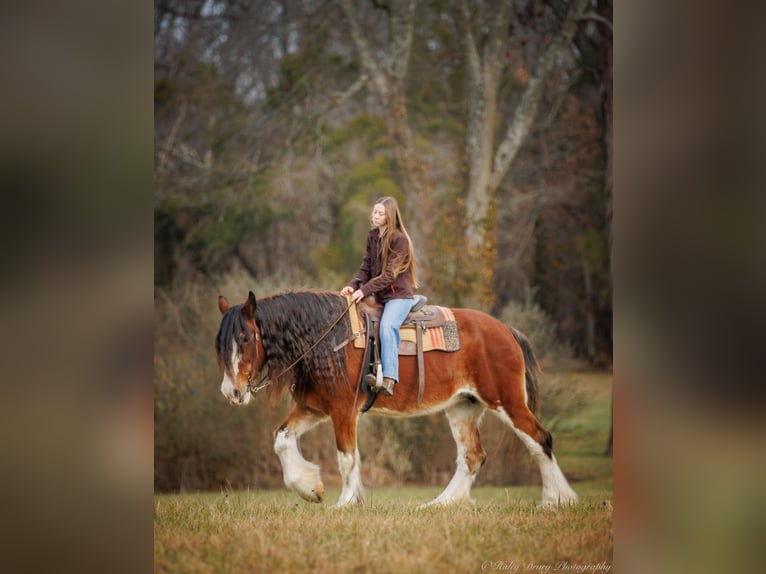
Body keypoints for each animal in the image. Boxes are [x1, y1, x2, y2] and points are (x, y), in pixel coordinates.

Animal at [213, 292, 580, 508]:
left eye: (244, 337)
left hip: (507, 401)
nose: (231, 392)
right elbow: (282, 440)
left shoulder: (343, 410)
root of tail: (506, 331)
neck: (326, 339)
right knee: (472, 456)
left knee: (540, 440)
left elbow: (347, 458)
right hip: (463, 407)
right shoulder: (313, 408)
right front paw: (310, 488)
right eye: (220, 343)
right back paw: (442, 504)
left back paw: (556, 500)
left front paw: (345, 502)